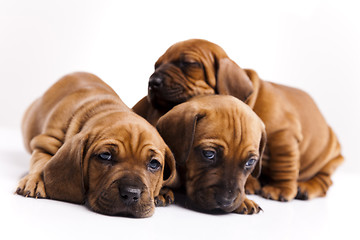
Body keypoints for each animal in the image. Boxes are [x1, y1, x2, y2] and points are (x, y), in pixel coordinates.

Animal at [16, 71, 177, 218]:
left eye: (154, 164)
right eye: (105, 156)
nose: (131, 194)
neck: (103, 108)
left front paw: (161, 191)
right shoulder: (46, 141)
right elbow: (41, 161)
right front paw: (36, 179)